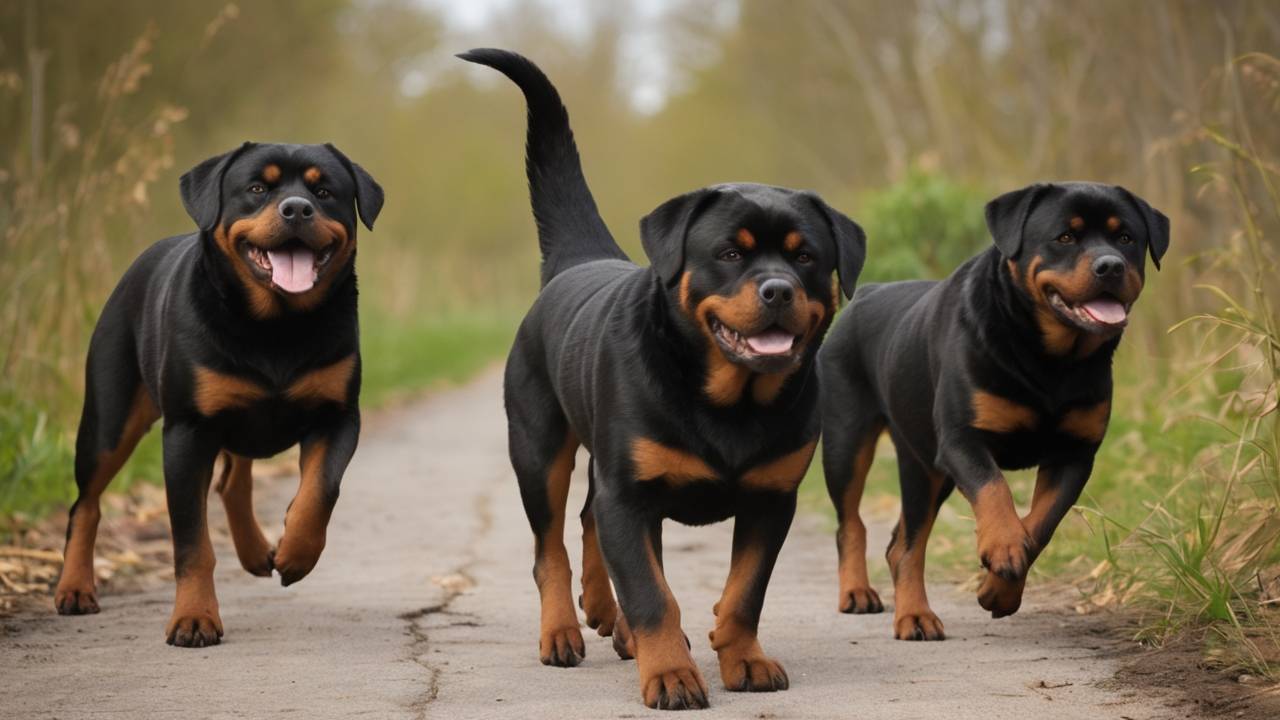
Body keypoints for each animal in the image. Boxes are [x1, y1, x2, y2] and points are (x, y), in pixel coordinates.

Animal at [55, 140, 381, 645]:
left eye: (325, 191)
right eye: (257, 188)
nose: (297, 208)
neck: (276, 327)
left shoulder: (338, 415)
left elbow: (319, 491)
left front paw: (295, 553)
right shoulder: (188, 430)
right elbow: (193, 542)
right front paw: (194, 618)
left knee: (233, 480)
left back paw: (255, 550)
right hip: (109, 420)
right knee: (84, 504)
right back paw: (74, 589)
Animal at [463, 49, 870, 707]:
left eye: (805, 256)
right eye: (730, 253)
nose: (778, 289)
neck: (730, 400)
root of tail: (579, 260)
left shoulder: (770, 501)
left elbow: (743, 593)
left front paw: (744, 658)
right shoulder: (632, 497)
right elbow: (654, 596)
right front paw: (671, 674)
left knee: (588, 521)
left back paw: (610, 617)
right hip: (537, 450)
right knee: (551, 547)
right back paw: (562, 632)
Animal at [819, 180, 1172, 638]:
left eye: (1126, 238)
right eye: (1065, 237)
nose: (1110, 265)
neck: (1051, 359)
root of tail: (867, 291)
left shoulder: (1073, 455)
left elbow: (1040, 525)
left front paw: (999, 589)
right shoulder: (962, 440)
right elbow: (994, 489)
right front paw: (1003, 546)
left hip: (929, 468)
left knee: (901, 543)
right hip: (851, 444)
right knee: (861, 527)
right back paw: (883, 603)